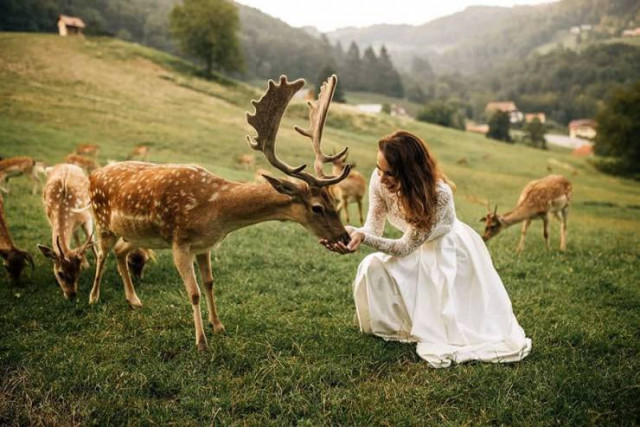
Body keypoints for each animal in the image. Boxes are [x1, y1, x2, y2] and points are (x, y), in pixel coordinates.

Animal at [37, 164, 95, 300]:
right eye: (60, 273)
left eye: (78, 272)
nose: (72, 295)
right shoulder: (50, 219)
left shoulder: (86, 216)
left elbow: (92, 241)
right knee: (76, 237)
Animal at [86, 76, 350, 352]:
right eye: (317, 207)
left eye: (334, 200)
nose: (344, 236)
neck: (215, 210)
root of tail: (92, 175)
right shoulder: (180, 242)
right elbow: (194, 292)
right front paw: (201, 342)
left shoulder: (205, 246)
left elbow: (210, 284)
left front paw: (218, 326)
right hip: (102, 220)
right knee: (102, 254)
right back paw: (93, 298)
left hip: (135, 235)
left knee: (120, 252)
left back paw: (134, 300)